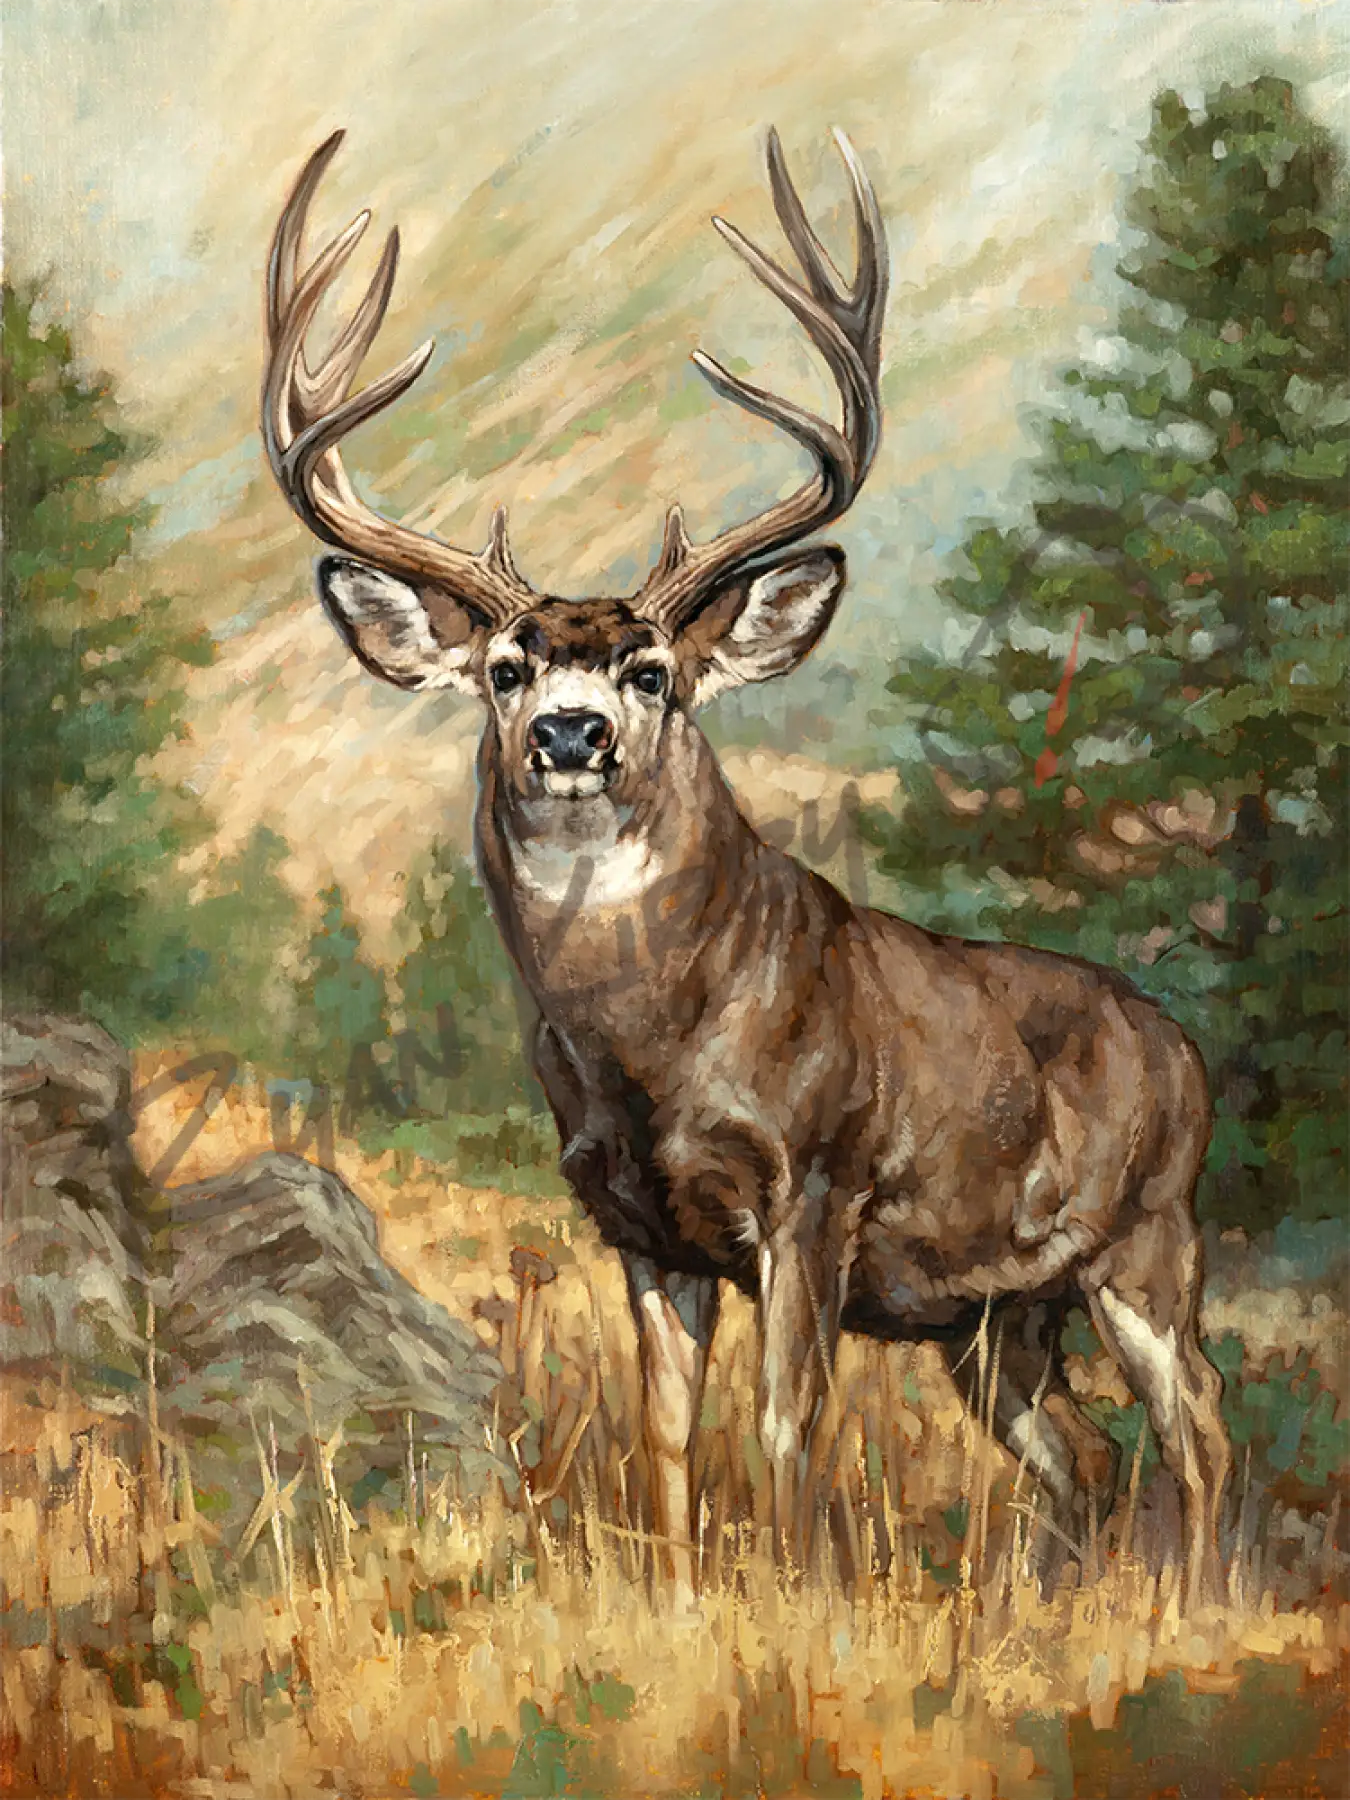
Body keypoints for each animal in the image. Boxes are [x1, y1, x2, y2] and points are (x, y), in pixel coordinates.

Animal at [261, 128, 1232, 1608]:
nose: (571, 734)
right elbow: (668, 1433)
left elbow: (785, 1423)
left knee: (1203, 1430)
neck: (650, 1048)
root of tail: (1181, 1049)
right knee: (1085, 1452)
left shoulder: (814, 1192)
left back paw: (1196, 1604)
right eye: (505, 667)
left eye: (653, 668)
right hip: (996, 1313)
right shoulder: (636, 1225)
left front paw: (795, 1597)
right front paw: (674, 1599)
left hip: (1149, 1239)